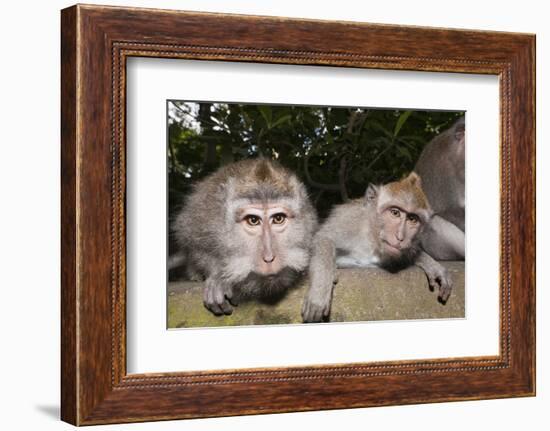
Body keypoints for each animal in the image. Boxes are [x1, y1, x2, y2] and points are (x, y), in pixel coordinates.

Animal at [172, 160, 320, 316]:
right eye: (253, 220)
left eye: (278, 219)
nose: (269, 258)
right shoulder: (202, 221)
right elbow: (196, 246)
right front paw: (219, 277)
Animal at [302, 172, 452, 324]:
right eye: (395, 213)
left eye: (412, 219)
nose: (400, 237)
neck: (372, 237)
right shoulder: (350, 219)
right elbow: (323, 238)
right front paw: (320, 291)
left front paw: (430, 263)